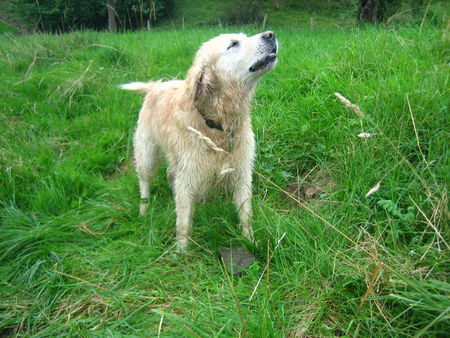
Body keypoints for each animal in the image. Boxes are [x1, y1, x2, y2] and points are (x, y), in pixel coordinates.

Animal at [121, 30, 280, 250]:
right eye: (233, 44)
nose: (270, 34)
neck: (216, 124)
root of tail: (157, 86)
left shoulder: (241, 173)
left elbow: (245, 213)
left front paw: (250, 240)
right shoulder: (188, 175)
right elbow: (183, 222)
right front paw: (182, 251)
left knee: (170, 174)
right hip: (147, 152)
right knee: (145, 181)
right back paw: (143, 210)